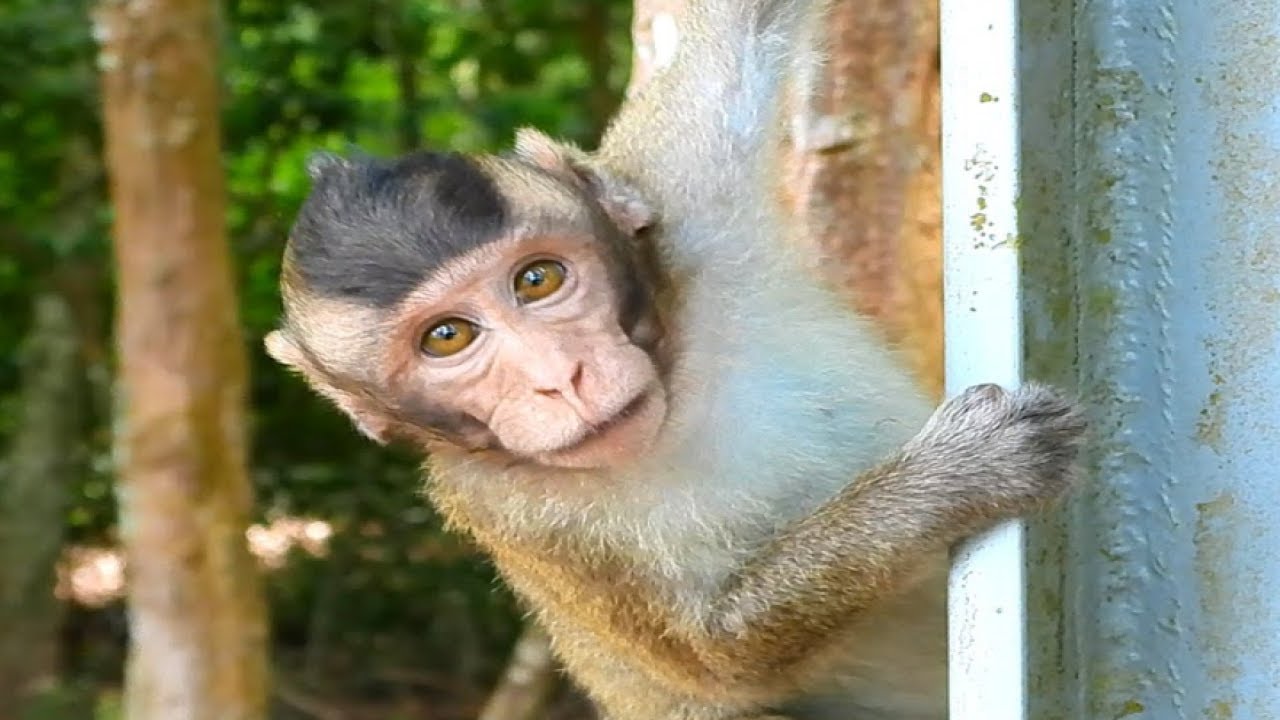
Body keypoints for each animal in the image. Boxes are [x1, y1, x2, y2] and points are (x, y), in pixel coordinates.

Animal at [263, 0, 1086, 718]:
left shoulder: (686, 194)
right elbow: (721, 651)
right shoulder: (510, 509)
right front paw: (958, 475)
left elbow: (748, 23)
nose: (558, 378)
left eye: (537, 280)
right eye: (447, 337)